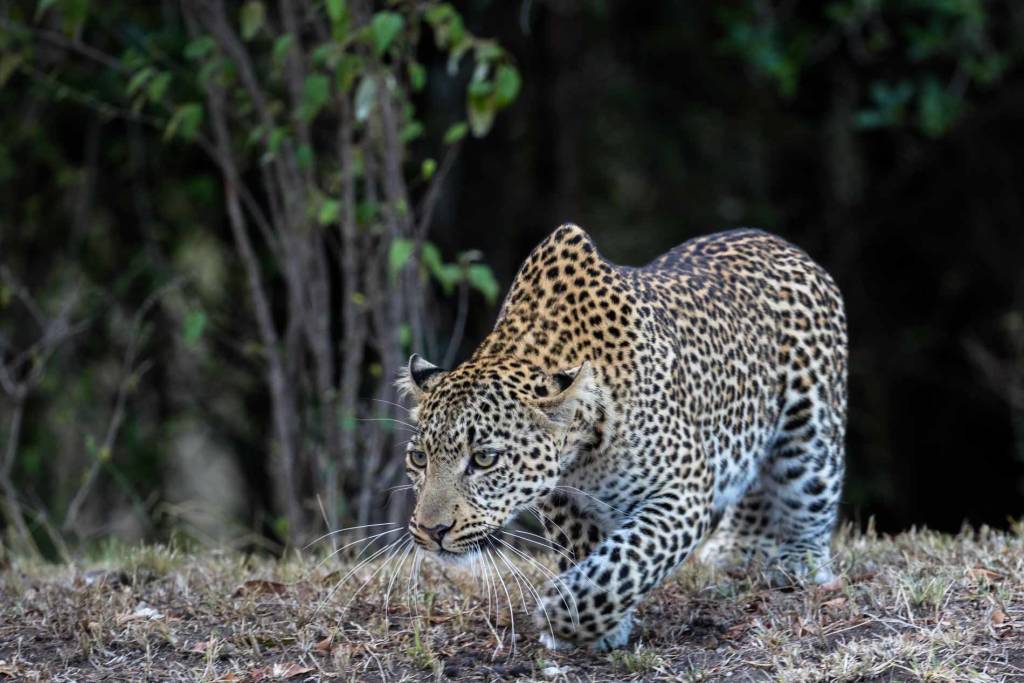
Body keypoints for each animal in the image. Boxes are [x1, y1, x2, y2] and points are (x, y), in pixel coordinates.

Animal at [395, 224, 843, 651]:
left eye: (485, 458)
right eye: (420, 459)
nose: (431, 531)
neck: (582, 455)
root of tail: (777, 242)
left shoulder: (684, 488)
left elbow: (632, 556)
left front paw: (567, 614)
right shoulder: (564, 499)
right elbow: (583, 548)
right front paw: (600, 626)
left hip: (811, 429)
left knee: (810, 493)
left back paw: (801, 561)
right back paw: (735, 547)